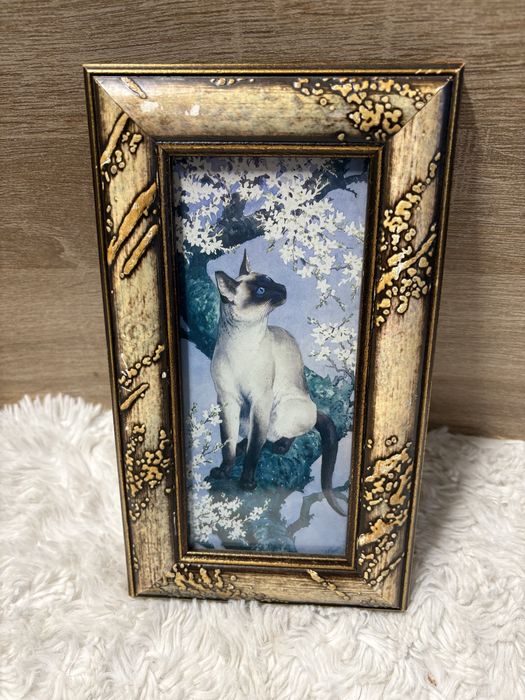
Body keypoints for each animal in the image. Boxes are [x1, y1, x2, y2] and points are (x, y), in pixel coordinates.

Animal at [209, 250, 345, 516]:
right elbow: (227, 444)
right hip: (245, 413)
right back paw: (244, 445)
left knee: (283, 433)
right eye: (261, 291)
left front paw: (246, 482)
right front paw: (224, 470)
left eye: (270, 280)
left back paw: (280, 446)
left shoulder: (261, 399)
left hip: (283, 407)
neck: (241, 343)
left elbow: (254, 451)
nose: (282, 287)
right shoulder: (227, 401)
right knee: (251, 437)